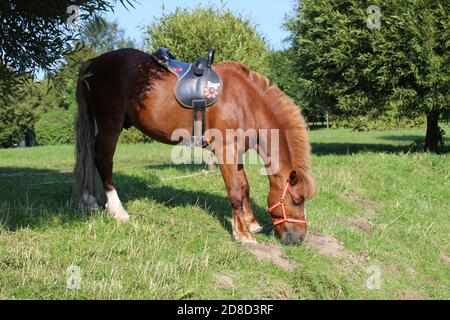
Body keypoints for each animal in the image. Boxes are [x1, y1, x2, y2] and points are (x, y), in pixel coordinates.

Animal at [74, 47, 316, 244]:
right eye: (296, 200)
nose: (299, 238)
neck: (247, 103)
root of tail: (93, 62)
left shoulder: (236, 153)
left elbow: (244, 186)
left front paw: (251, 223)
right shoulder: (226, 151)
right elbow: (235, 191)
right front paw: (243, 234)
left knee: (89, 157)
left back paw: (90, 199)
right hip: (110, 125)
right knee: (103, 160)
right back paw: (117, 210)